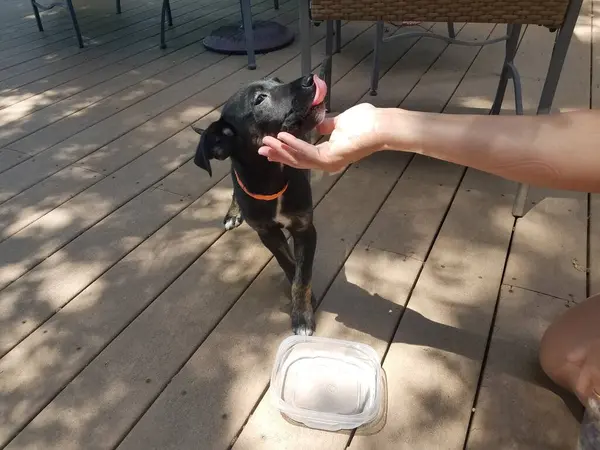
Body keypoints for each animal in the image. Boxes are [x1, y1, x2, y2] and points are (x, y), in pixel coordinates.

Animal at [191, 73, 326, 334]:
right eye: (259, 99)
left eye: (277, 81)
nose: (310, 78)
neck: (272, 180)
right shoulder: (267, 233)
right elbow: (289, 265)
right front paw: (302, 309)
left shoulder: (305, 228)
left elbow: (302, 275)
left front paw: (302, 316)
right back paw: (234, 212)